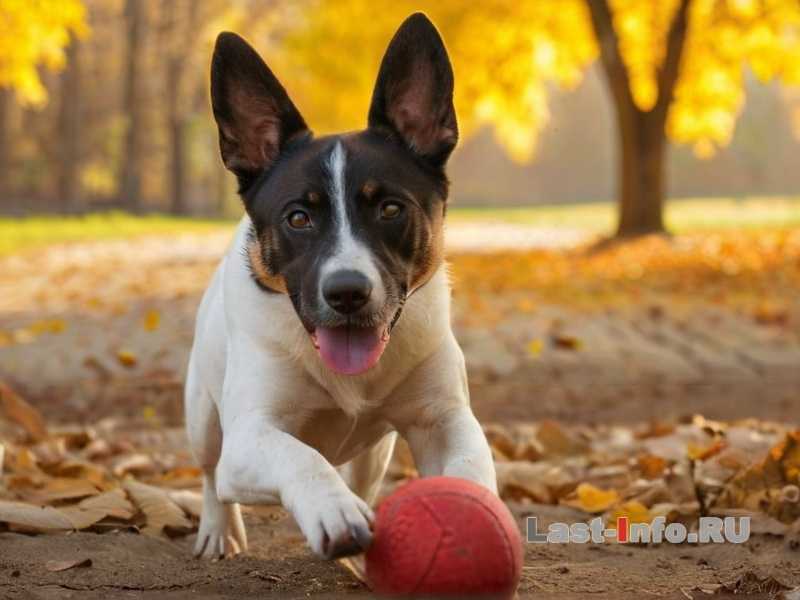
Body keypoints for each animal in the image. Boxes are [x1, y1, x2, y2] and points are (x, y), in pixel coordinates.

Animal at [188, 10, 496, 564]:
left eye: (390, 209)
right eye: (298, 217)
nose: (347, 292)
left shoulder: (443, 418)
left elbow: (469, 465)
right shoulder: (249, 438)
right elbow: (298, 456)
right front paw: (333, 511)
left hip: (375, 452)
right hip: (202, 418)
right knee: (212, 477)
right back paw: (219, 530)